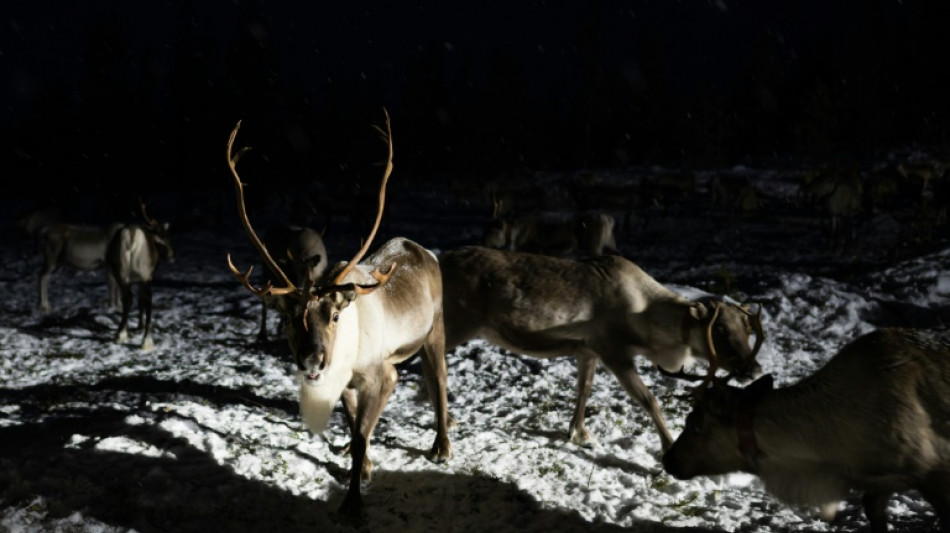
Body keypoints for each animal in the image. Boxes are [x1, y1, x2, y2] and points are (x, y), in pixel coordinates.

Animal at [105, 203, 174, 352]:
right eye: (164, 236)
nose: (172, 256)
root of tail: (131, 235)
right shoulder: (146, 277)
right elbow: (142, 299)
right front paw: (140, 326)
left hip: (120, 273)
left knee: (127, 298)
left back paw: (121, 334)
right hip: (144, 274)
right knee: (147, 299)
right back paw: (147, 341)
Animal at [224, 111, 452, 516]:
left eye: (334, 317)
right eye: (288, 318)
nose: (312, 359)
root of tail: (422, 249)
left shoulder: (382, 375)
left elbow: (361, 434)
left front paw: (354, 502)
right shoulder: (343, 382)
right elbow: (352, 425)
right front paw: (363, 465)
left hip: (435, 330)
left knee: (439, 379)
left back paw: (441, 446)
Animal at [438, 245, 764, 451]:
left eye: (746, 328)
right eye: (719, 329)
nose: (754, 368)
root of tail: (439, 260)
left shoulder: (588, 351)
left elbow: (584, 390)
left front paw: (578, 433)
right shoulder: (614, 352)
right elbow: (649, 401)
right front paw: (668, 446)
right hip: (456, 324)